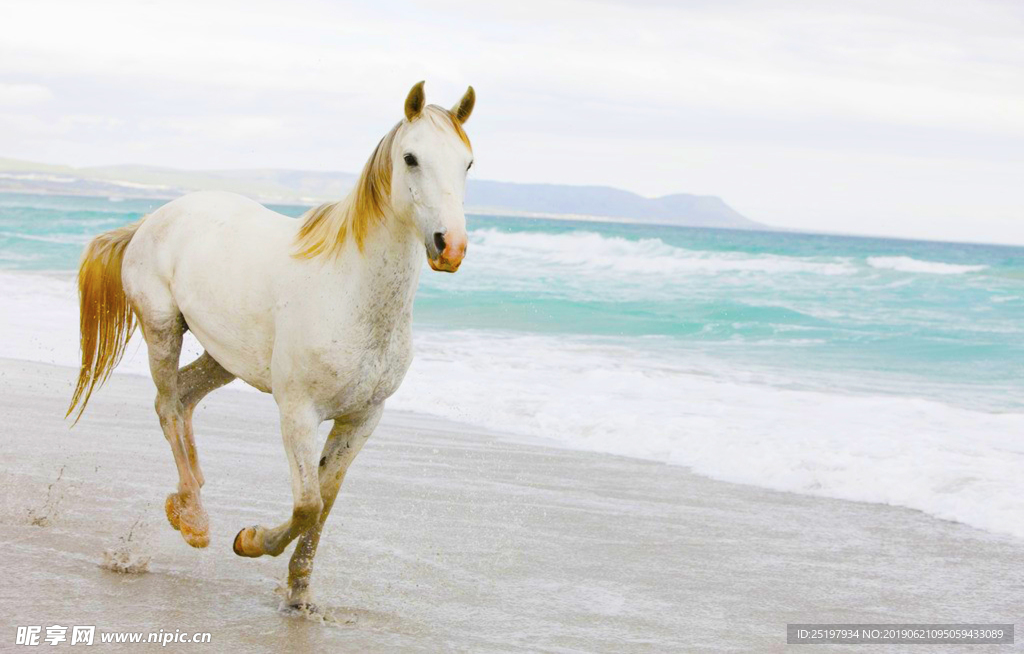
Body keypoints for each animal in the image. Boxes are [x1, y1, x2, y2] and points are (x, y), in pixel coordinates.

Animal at [68, 81, 475, 609]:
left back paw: (186, 498)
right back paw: (194, 520)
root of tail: (153, 218)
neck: (350, 289)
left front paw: (299, 593)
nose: (451, 247)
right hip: (162, 329)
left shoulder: (362, 418)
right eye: (411, 158)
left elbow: (327, 501)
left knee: (184, 396)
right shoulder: (298, 412)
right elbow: (307, 504)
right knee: (168, 405)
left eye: (467, 163)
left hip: (224, 358)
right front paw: (249, 540)